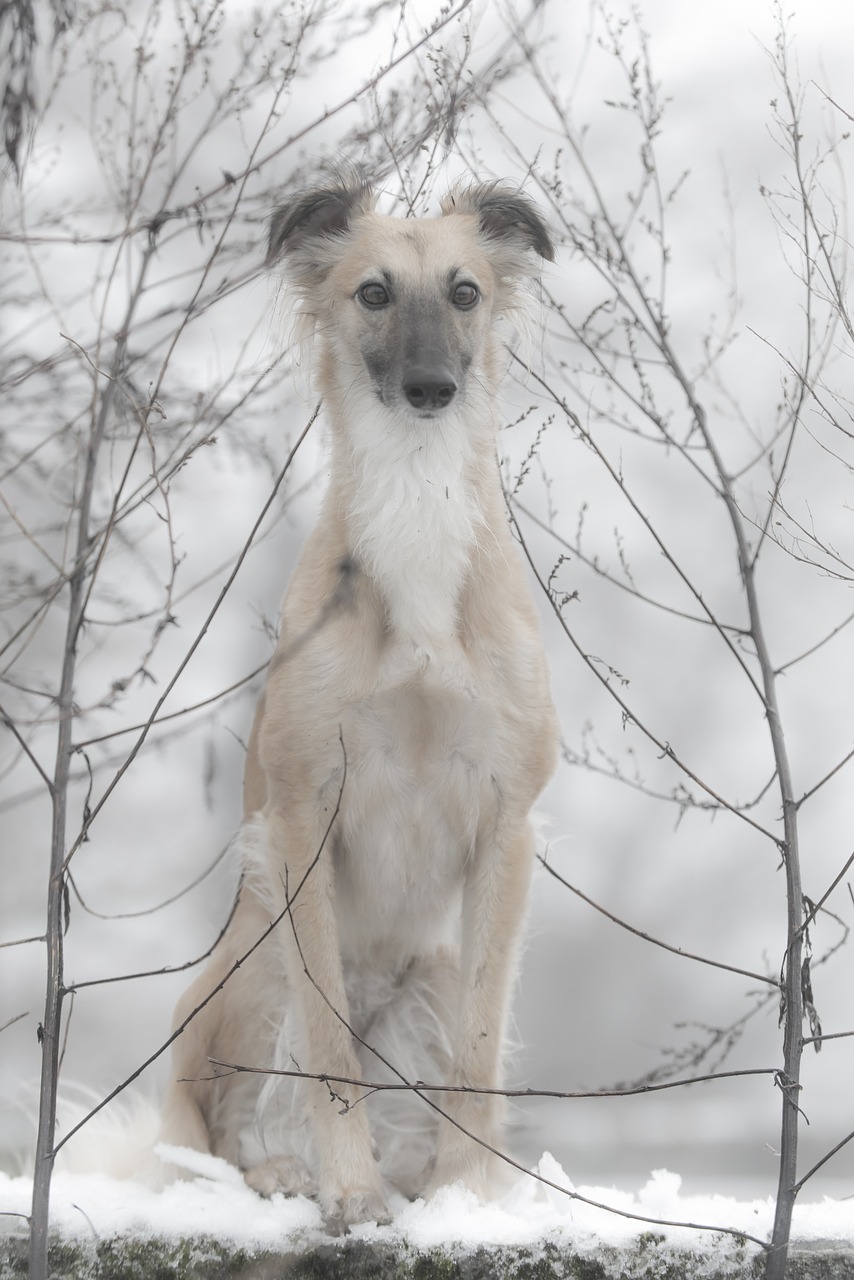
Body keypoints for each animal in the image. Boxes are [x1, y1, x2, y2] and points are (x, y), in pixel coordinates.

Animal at [158, 172, 560, 1228]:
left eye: (465, 292)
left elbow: (477, 1056)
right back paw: (287, 1176)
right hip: (255, 954)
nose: (431, 390)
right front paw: (349, 1189)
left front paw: (469, 1200)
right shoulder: (303, 817)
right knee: (242, 1118)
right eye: (373, 293)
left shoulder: (507, 825)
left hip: (435, 969)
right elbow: (329, 1049)